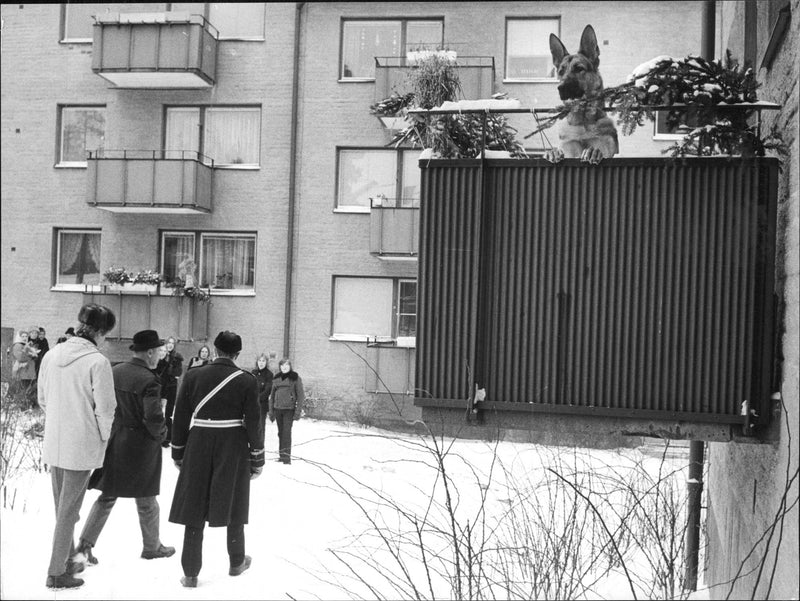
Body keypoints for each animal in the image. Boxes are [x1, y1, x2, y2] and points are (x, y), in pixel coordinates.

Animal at [544, 25, 620, 163]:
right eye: (561, 72)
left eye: (579, 69)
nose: (561, 88)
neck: (582, 123)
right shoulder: (569, 146)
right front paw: (553, 152)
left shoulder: (606, 146)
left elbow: (599, 149)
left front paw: (593, 152)